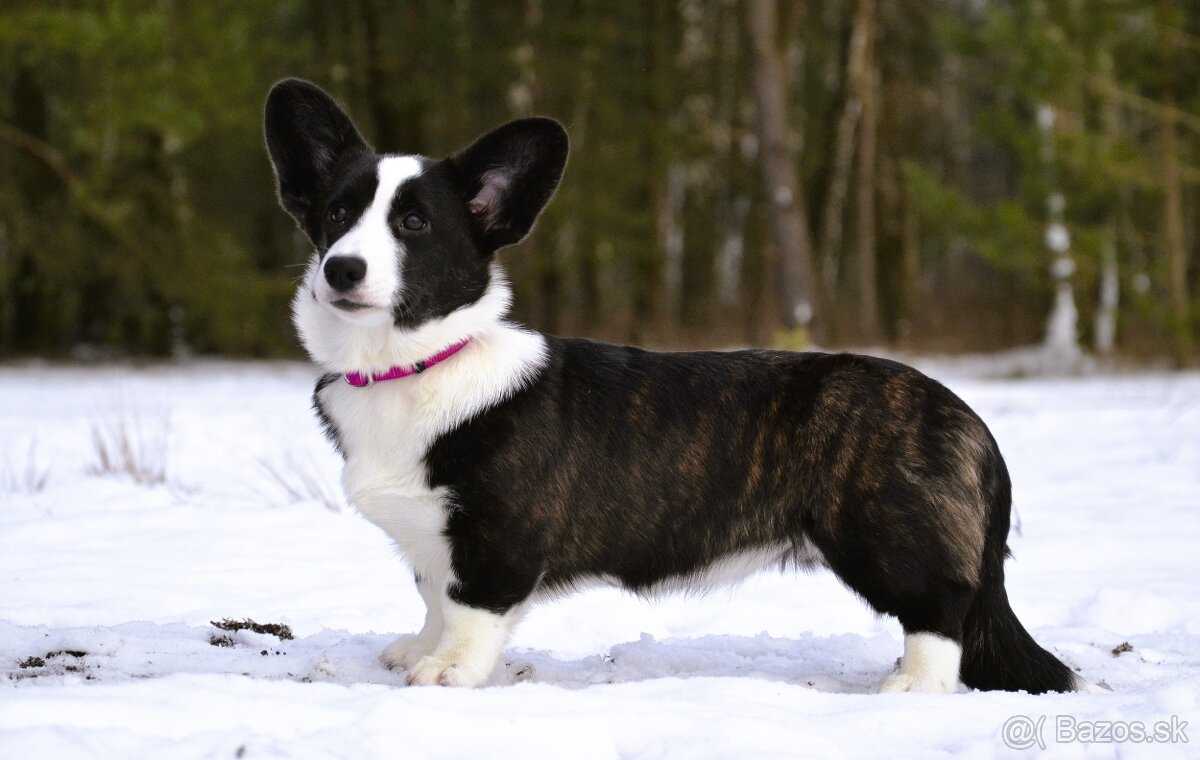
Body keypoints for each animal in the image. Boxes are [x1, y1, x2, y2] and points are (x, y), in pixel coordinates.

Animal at [267, 78, 1094, 691]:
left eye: (413, 224)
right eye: (337, 212)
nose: (341, 269)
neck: (413, 363)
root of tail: (967, 416)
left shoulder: (495, 539)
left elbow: (469, 612)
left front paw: (446, 672)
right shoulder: (432, 544)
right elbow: (432, 596)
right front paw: (417, 649)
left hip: (888, 537)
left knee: (941, 612)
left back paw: (910, 685)